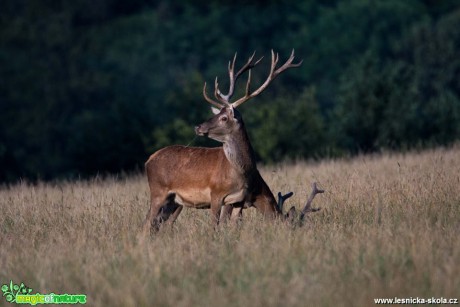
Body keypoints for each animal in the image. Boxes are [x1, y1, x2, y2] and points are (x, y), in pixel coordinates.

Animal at [142, 50, 326, 236]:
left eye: (224, 117)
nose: (198, 127)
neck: (245, 174)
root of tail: (149, 160)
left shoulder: (237, 201)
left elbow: (231, 225)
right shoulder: (216, 194)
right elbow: (214, 225)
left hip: (174, 201)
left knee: (158, 223)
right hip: (158, 191)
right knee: (147, 222)